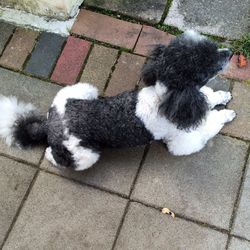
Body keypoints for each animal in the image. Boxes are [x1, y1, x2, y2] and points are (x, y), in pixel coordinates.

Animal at [0, 28, 235, 170]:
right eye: (206, 65)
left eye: (212, 46)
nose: (231, 52)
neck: (165, 97)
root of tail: (50, 125)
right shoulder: (183, 140)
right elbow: (209, 125)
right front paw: (226, 113)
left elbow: (208, 97)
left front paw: (221, 96)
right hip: (85, 155)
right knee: (58, 157)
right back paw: (51, 155)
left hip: (82, 90)